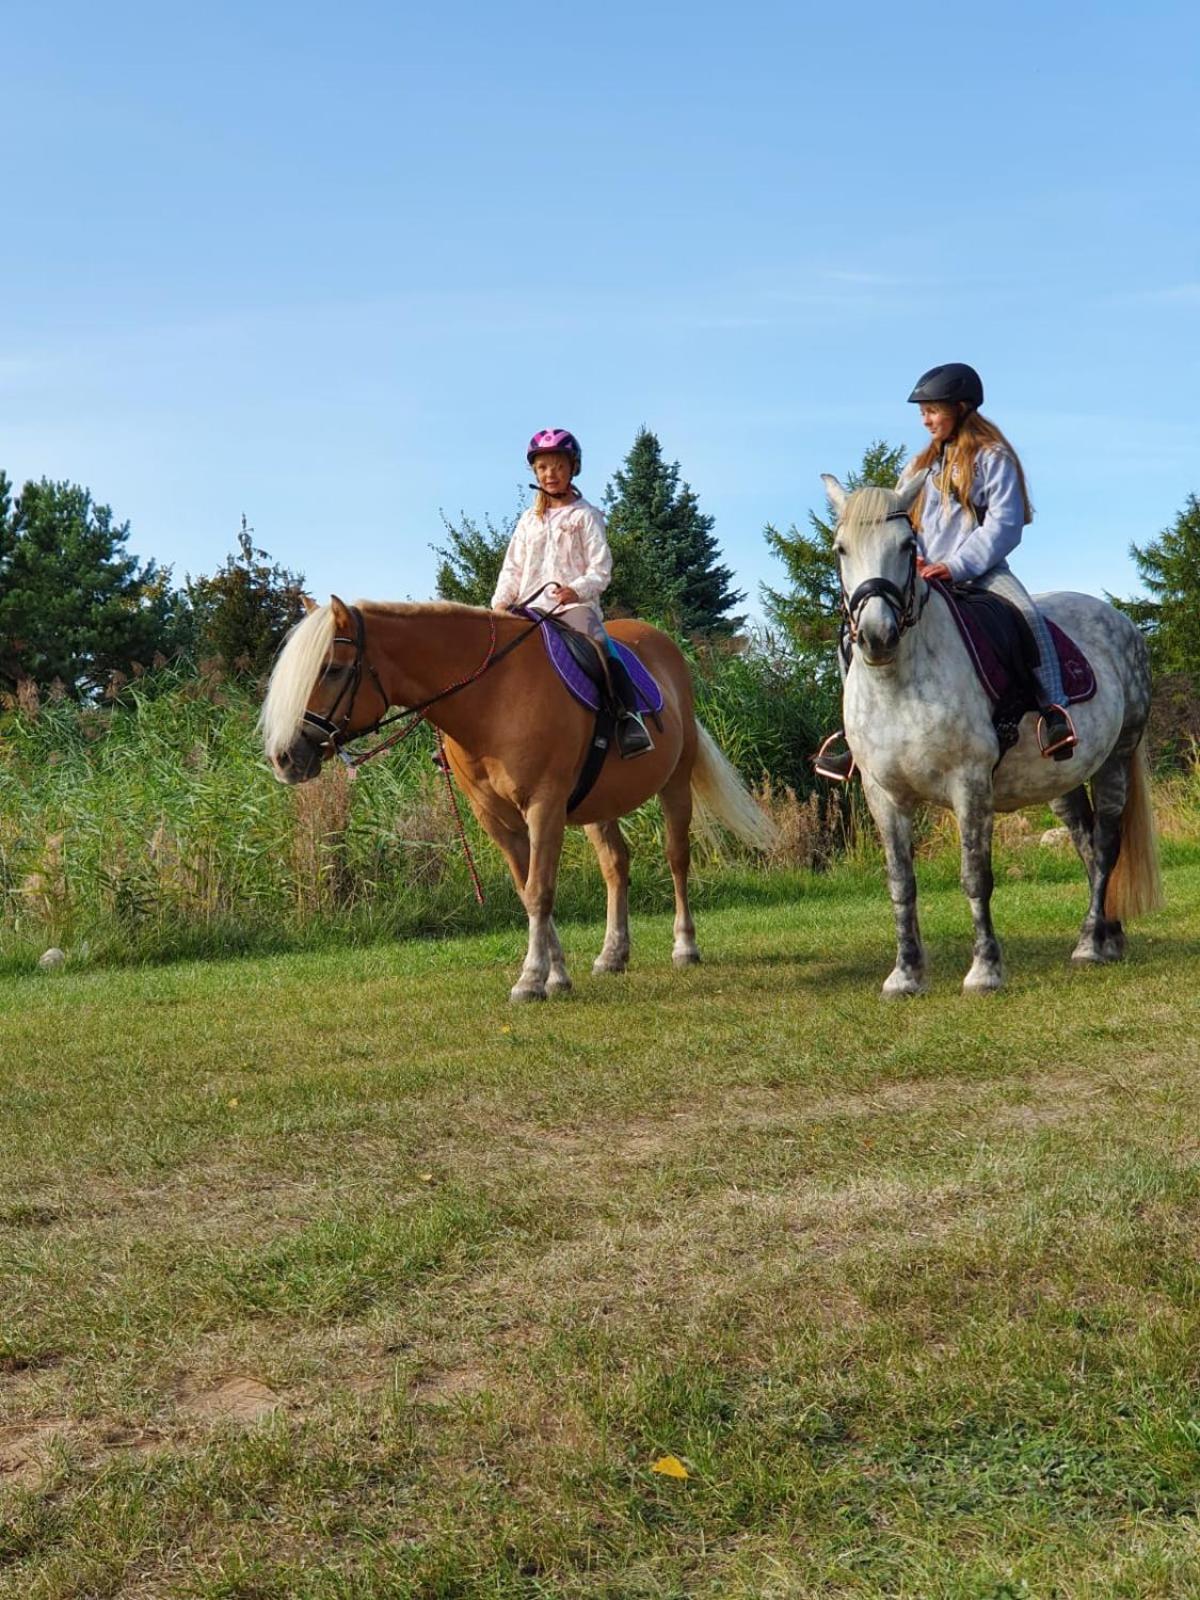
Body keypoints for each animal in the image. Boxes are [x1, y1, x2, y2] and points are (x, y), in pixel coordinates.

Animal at [260, 597, 775, 1001]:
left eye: (333, 669)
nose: (286, 757)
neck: (490, 698)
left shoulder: (543, 807)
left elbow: (540, 890)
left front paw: (531, 979)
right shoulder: (496, 819)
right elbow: (527, 890)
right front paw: (556, 975)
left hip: (675, 783)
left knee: (677, 858)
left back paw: (685, 946)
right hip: (597, 804)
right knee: (616, 864)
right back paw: (613, 954)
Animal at [822, 473, 1162, 996]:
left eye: (907, 546)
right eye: (841, 548)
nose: (878, 636)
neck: (899, 680)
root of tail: (1124, 624)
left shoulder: (970, 784)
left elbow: (975, 877)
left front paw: (985, 969)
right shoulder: (884, 794)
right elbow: (901, 883)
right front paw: (905, 974)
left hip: (1116, 759)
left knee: (1106, 843)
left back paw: (1090, 943)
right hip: (1059, 780)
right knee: (1085, 842)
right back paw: (1108, 935)